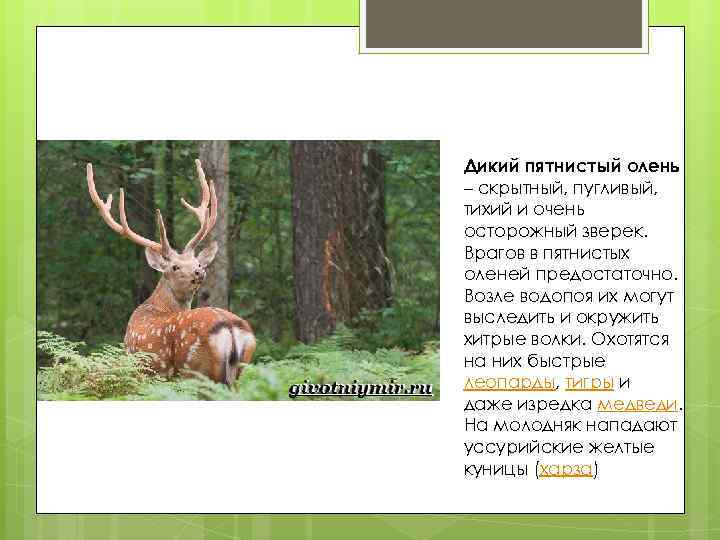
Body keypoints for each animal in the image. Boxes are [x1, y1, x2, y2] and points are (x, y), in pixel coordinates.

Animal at [86, 159, 256, 385]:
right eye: (175, 267)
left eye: (198, 263)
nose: (199, 272)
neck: (155, 306)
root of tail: (230, 327)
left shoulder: (140, 371)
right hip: (240, 369)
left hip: (196, 370)